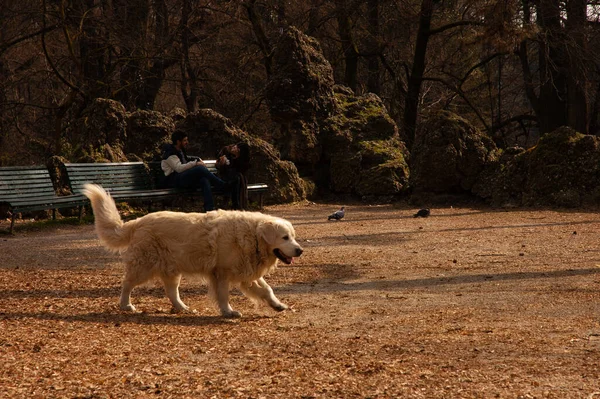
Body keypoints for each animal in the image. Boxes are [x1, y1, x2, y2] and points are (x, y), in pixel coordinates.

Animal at [82, 184, 302, 318]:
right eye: (285, 237)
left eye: (293, 236)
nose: (300, 250)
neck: (253, 236)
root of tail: (138, 222)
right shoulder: (221, 273)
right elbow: (224, 295)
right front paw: (228, 312)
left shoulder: (246, 273)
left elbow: (267, 289)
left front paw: (277, 305)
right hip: (143, 266)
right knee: (127, 284)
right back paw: (126, 305)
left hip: (171, 270)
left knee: (171, 292)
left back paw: (183, 308)